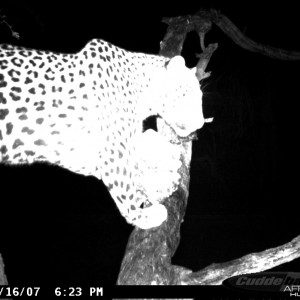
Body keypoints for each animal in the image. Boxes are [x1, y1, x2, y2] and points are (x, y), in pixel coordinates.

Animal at [0, 38, 205, 229]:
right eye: (189, 93)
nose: (201, 123)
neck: (141, 90)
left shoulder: (81, 153)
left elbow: (144, 143)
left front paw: (166, 166)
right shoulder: (112, 152)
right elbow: (127, 192)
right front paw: (144, 216)